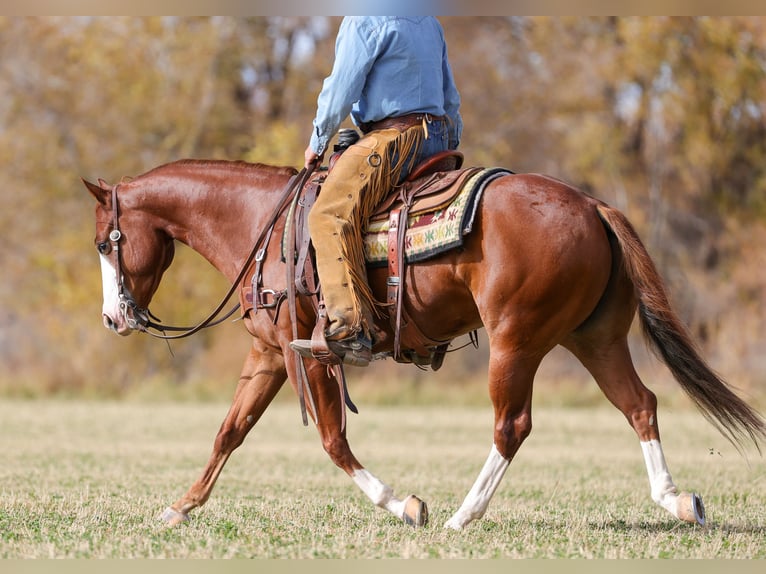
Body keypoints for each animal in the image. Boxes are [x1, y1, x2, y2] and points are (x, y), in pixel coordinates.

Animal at [83, 158, 765, 530]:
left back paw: (465, 515)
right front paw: (180, 507)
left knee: (512, 425)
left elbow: (332, 441)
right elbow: (229, 431)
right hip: (593, 338)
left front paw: (404, 504)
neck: (262, 226)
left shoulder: (310, 356)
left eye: (103, 243)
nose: (113, 318)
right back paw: (677, 501)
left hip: (516, 342)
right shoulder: (269, 354)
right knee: (640, 404)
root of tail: (594, 206)